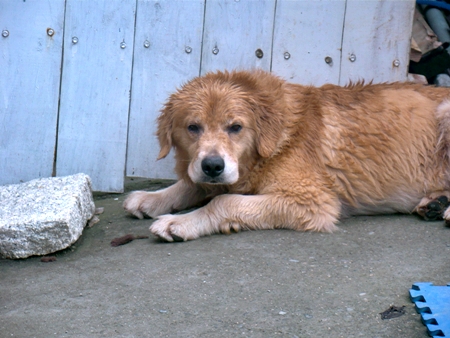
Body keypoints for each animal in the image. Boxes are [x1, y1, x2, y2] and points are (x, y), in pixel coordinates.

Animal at [123, 70, 450, 242]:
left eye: (236, 127)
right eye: (193, 127)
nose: (213, 166)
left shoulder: (311, 201)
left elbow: (223, 201)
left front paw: (181, 222)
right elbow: (191, 184)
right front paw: (151, 198)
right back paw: (435, 204)